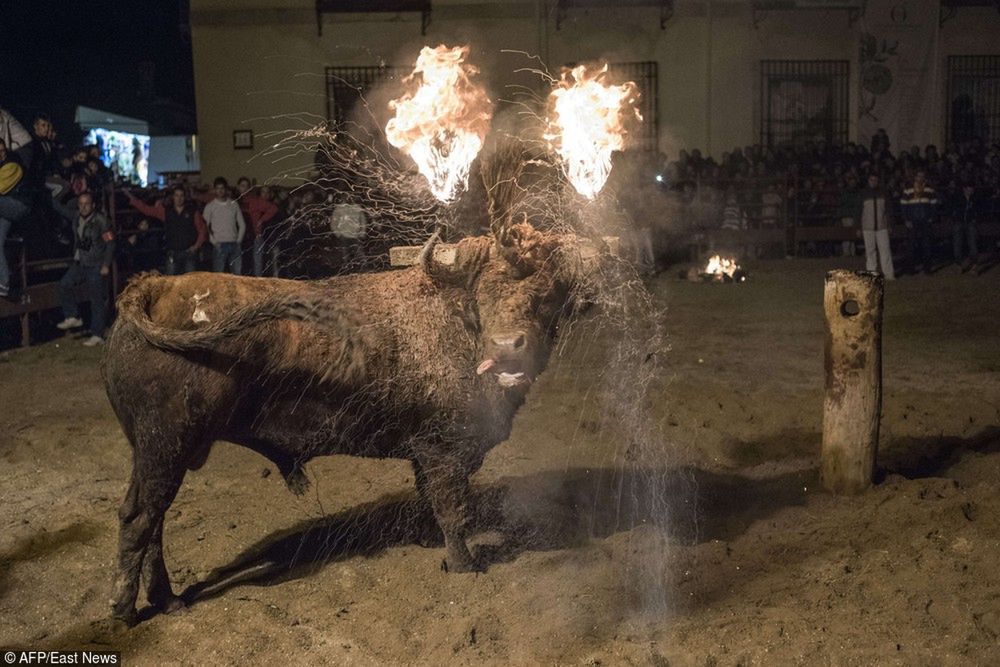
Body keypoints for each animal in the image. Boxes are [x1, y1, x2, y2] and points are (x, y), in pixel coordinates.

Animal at [101, 219, 608, 628]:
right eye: (482, 295)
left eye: (546, 294)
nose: (507, 348)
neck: (454, 318)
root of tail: (151, 287)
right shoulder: (443, 452)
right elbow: (453, 511)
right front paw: (463, 566)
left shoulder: (424, 453)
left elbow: (430, 503)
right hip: (166, 448)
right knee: (141, 520)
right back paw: (126, 610)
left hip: (155, 455)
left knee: (149, 520)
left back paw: (167, 600)